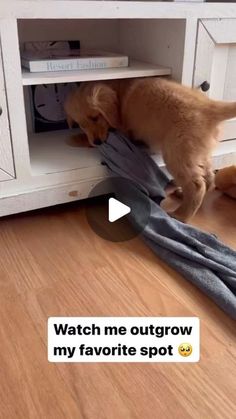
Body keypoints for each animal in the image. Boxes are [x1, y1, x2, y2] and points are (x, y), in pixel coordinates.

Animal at [64, 79, 236, 223]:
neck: (119, 94)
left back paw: (181, 215)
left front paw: (74, 139)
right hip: (198, 153)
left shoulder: (121, 129)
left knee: (197, 185)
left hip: (176, 152)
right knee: (209, 178)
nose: (97, 142)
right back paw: (184, 196)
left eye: (95, 117)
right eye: (81, 124)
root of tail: (208, 106)